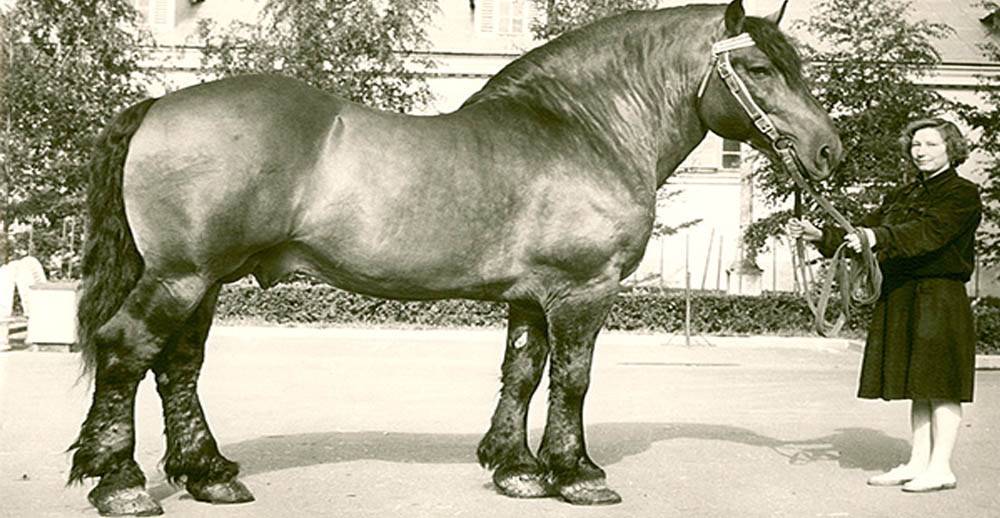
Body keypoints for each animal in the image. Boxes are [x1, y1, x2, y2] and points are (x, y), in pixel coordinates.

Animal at [66, 1, 840, 516]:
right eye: (760, 67)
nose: (829, 150)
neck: (579, 127)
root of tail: (159, 102)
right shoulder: (583, 292)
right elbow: (574, 379)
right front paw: (577, 473)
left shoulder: (532, 297)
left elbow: (522, 375)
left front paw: (515, 469)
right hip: (181, 277)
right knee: (126, 350)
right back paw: (121, 484)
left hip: (203, 282)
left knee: (178, 367)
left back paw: (210, 475)